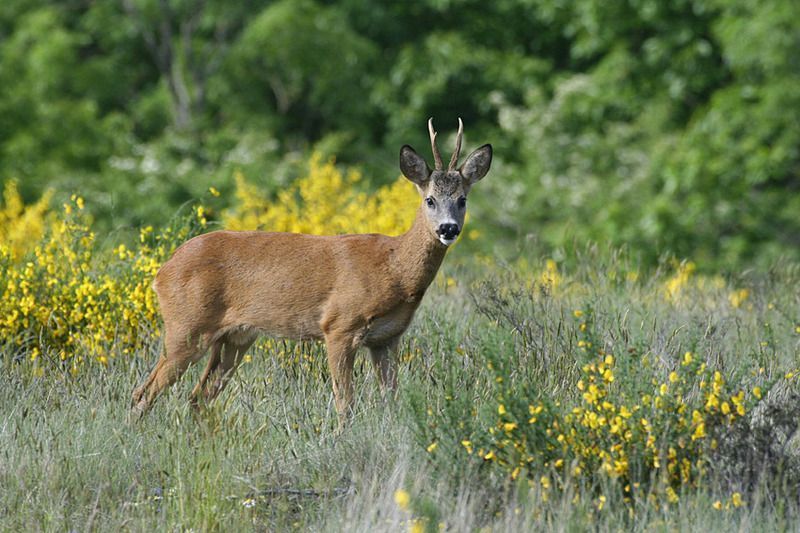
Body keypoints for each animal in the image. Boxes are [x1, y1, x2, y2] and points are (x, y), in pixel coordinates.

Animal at [130, 118, 494, 426]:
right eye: (430, 200)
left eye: (462, 199)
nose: (448, 229)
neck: (394, 269)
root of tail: (162, 271)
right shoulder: (339, 325)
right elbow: (345, 404)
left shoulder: (387, 339)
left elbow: (392, 401)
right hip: (187, 326)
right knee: (143, 393)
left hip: (234, 338)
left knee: (197, 398)